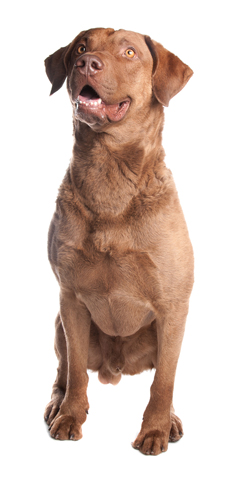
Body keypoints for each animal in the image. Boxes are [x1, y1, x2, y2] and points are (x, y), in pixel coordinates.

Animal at [44, 27, 194, 456]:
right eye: (81, 47)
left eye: (129, 52)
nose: (86, 63)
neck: (109, 170)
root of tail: (116, 367)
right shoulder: (71, 299)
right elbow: (77, 372)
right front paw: (70, 417)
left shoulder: (173, 306)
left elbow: (164, 382)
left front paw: (155, 430)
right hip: (59, 323)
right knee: (65, 370)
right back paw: (57, 403)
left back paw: (171, 420)